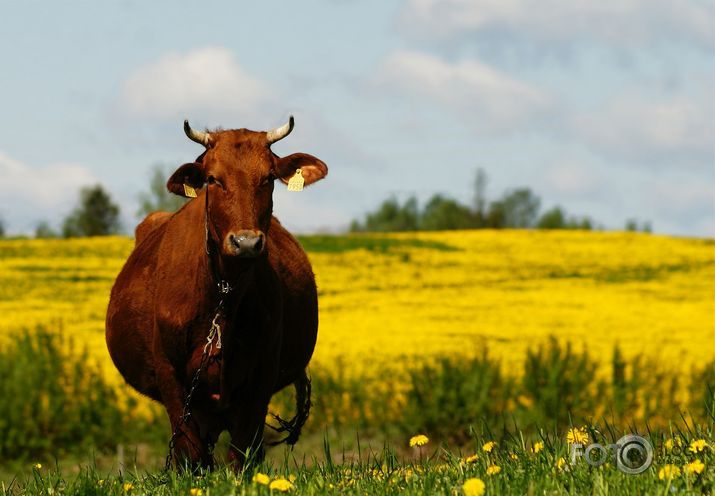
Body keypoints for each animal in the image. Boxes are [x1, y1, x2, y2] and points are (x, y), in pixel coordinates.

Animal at [105, 116, 328, 468]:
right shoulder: (170, 374)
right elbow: (188, 452)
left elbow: (243, 452)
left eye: (268, 178)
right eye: (213, 179)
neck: (223, 293)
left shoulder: (261, 374)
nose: (246, 242)